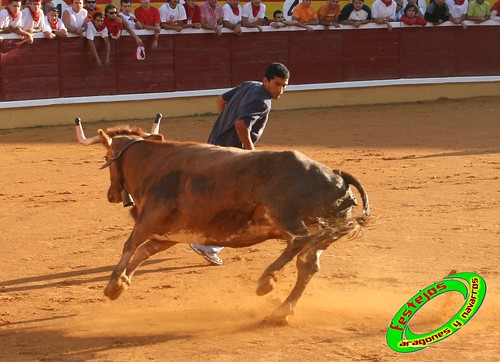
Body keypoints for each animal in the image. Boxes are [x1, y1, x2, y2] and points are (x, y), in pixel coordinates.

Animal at [75, 114, 372, 322]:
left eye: (106, 156)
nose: (111, 195)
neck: (154, 164)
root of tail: (337, 175)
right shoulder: (170, 234)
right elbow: (144, 252)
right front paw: (122, 284)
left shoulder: (149, 218)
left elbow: (130, 245)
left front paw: (113, 284)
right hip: (325, 232)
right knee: (307, 263)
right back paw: (281, 311)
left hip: (286, 216)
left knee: (299, 242)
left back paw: (267, 280)